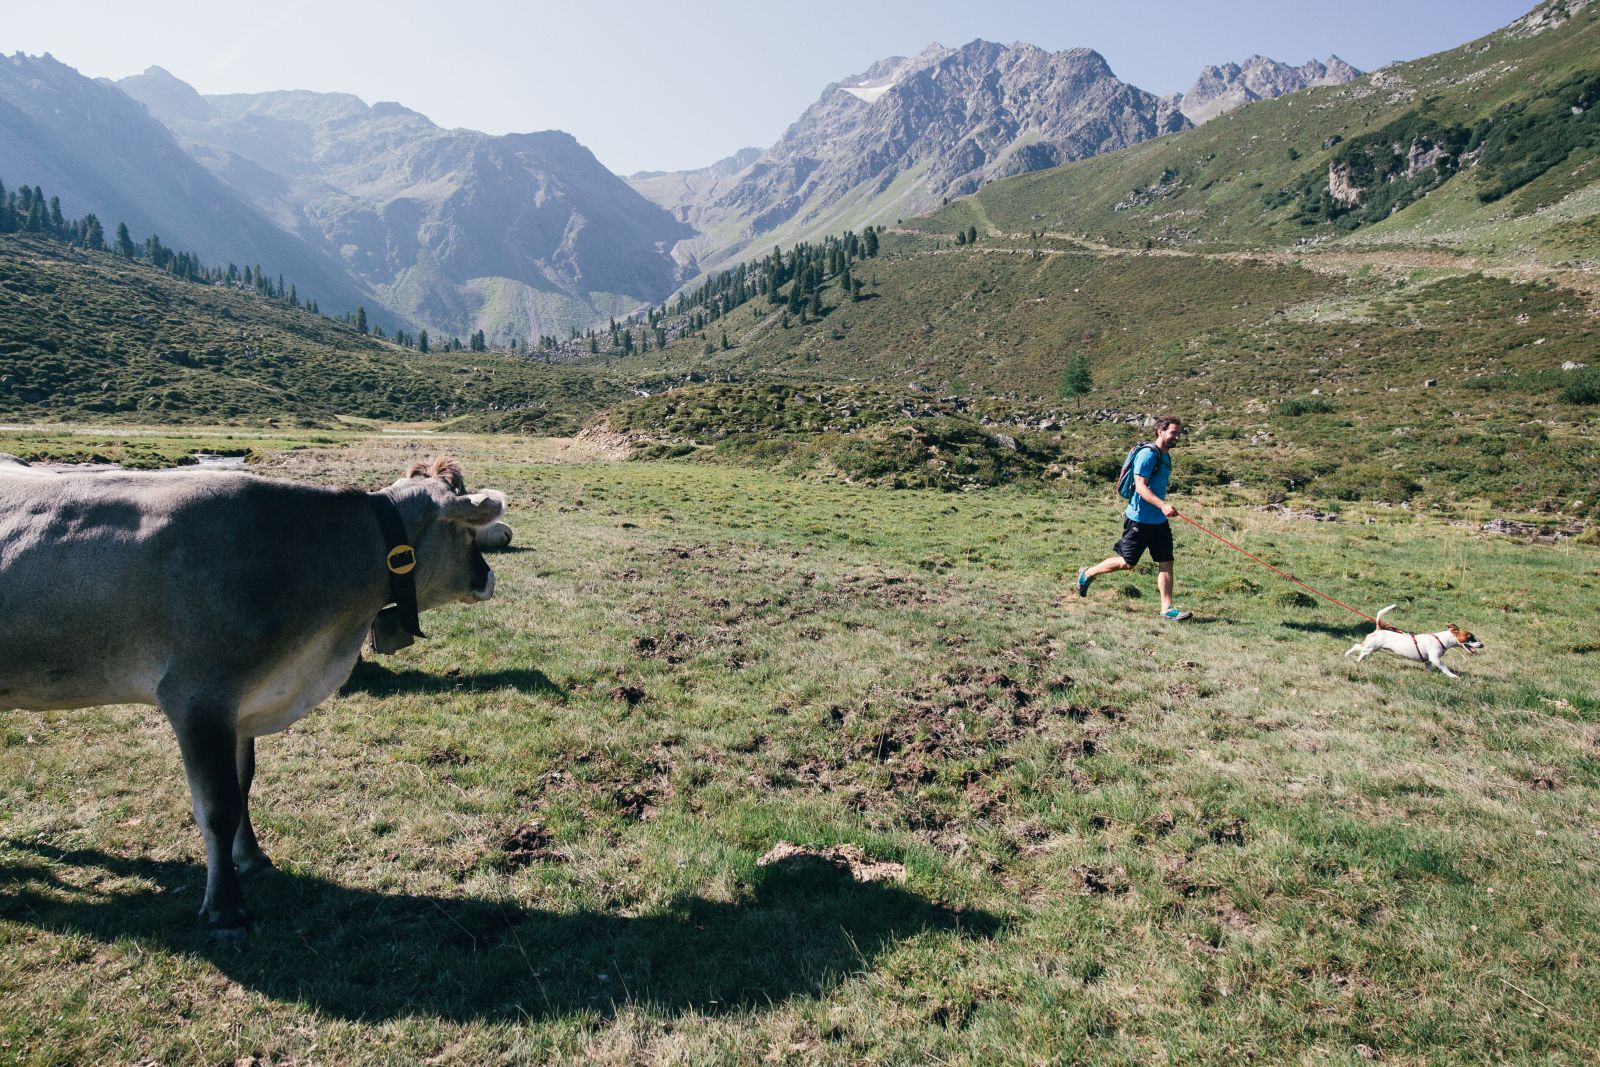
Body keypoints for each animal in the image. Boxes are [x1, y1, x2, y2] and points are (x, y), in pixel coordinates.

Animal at [0, 454, 505, 940]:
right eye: (467, 532)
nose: (488, 578)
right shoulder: (198, 698)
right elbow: (219, 807)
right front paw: (226, 908)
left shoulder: (243, 704)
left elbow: (243, 787)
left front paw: (252, 857)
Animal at [1344, 604, 1478, 681]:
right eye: (1470, 637)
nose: (1481, 645)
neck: (1440, 639)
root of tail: (1379, 628)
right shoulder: (1435, 659)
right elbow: (1445, 668)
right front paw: (1453, 676)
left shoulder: (1428, 661)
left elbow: (1429, 668)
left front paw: (1429, 675)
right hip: (1371, 647)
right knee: (1359, 648)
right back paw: (1352, 657)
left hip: (1371, 648)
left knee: (1359, 649)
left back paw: (1352, 657)